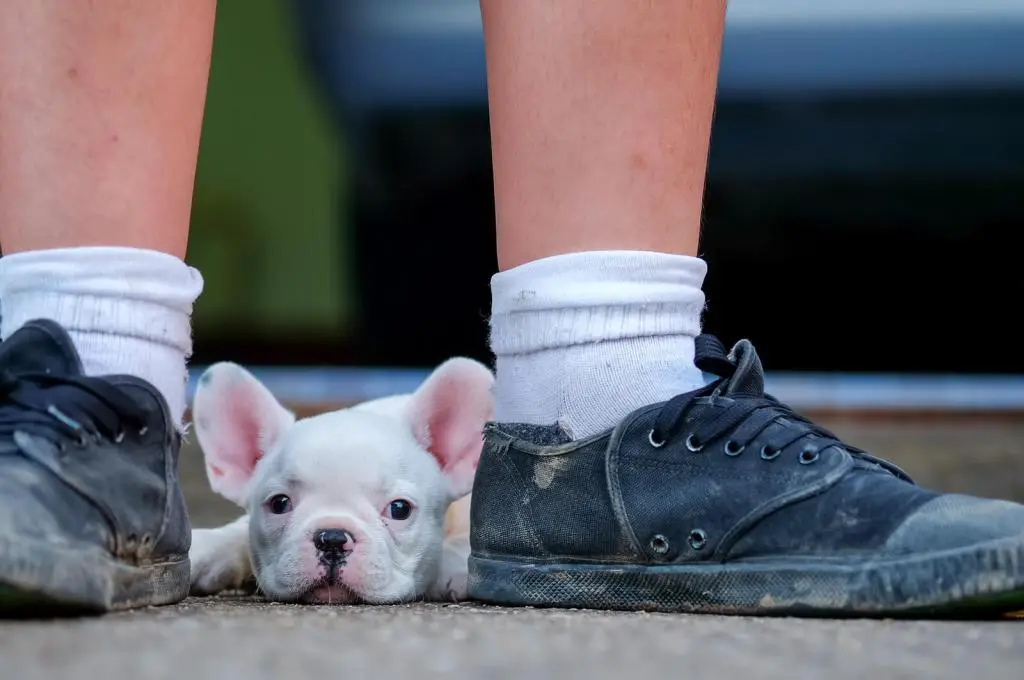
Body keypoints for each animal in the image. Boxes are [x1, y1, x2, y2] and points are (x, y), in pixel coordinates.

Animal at [186, 358, 493, 602]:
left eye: (400, 509)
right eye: (279, 504)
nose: (332, 538)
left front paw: (455, 567)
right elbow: (236, 532)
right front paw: (202, 550)